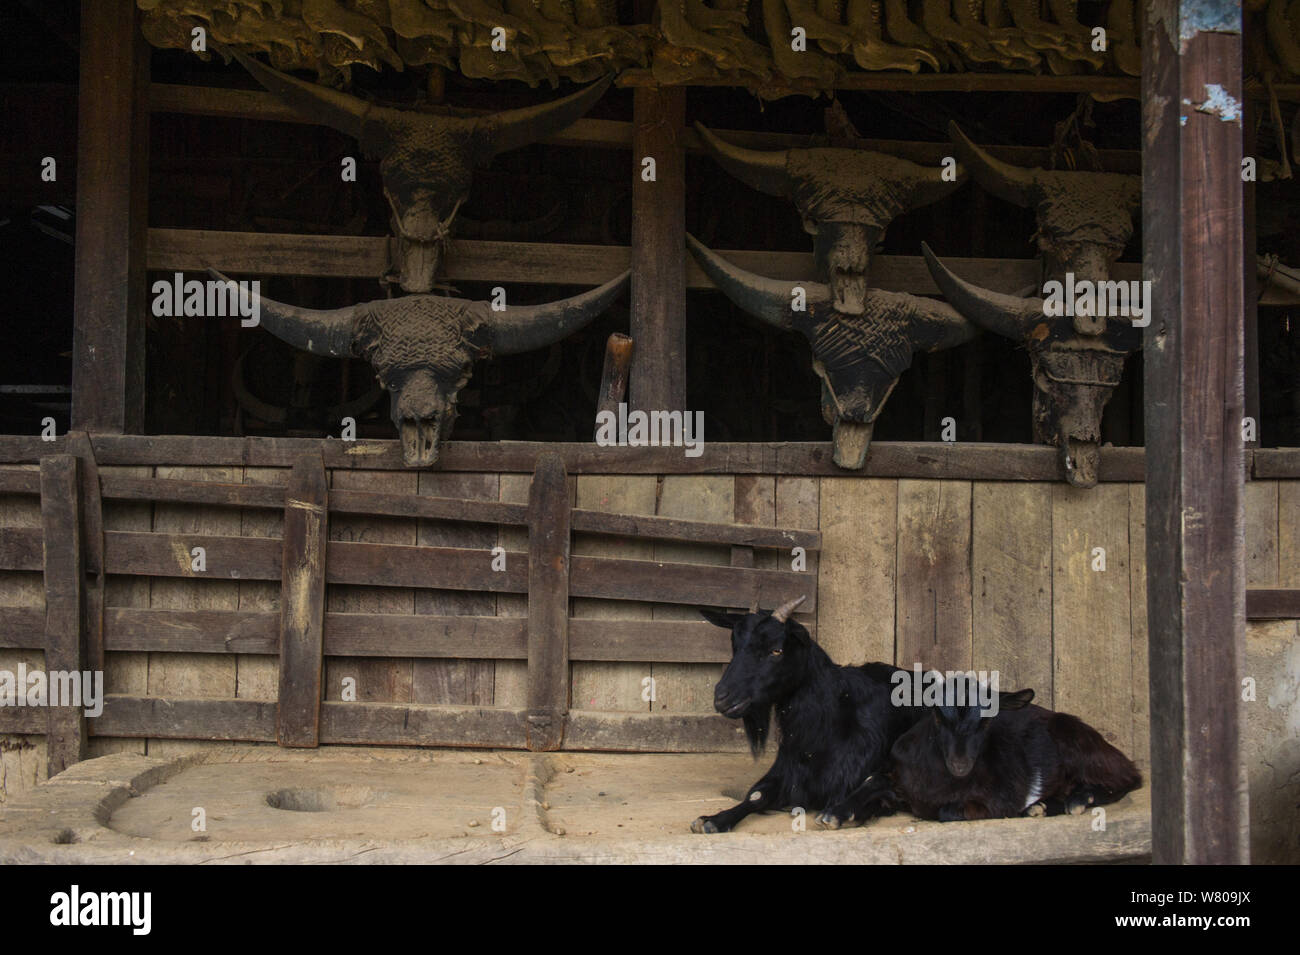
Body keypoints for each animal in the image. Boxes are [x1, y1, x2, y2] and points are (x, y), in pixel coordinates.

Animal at [691, 596, 926, 833]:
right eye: (735, 646)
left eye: (776, 650)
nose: (722, 697)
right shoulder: (787, 772)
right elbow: (756, 795)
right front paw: (713, 819)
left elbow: (879, 788)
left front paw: (839, 813)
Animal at [818, 674, 1142, 826]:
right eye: (937, 715)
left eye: (986, 721)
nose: (960, 765)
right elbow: (873, 781)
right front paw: (836, 814)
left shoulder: (999, 799)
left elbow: (947, 811)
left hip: (1084, 749)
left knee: (1128, 779)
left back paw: (1072, 801)